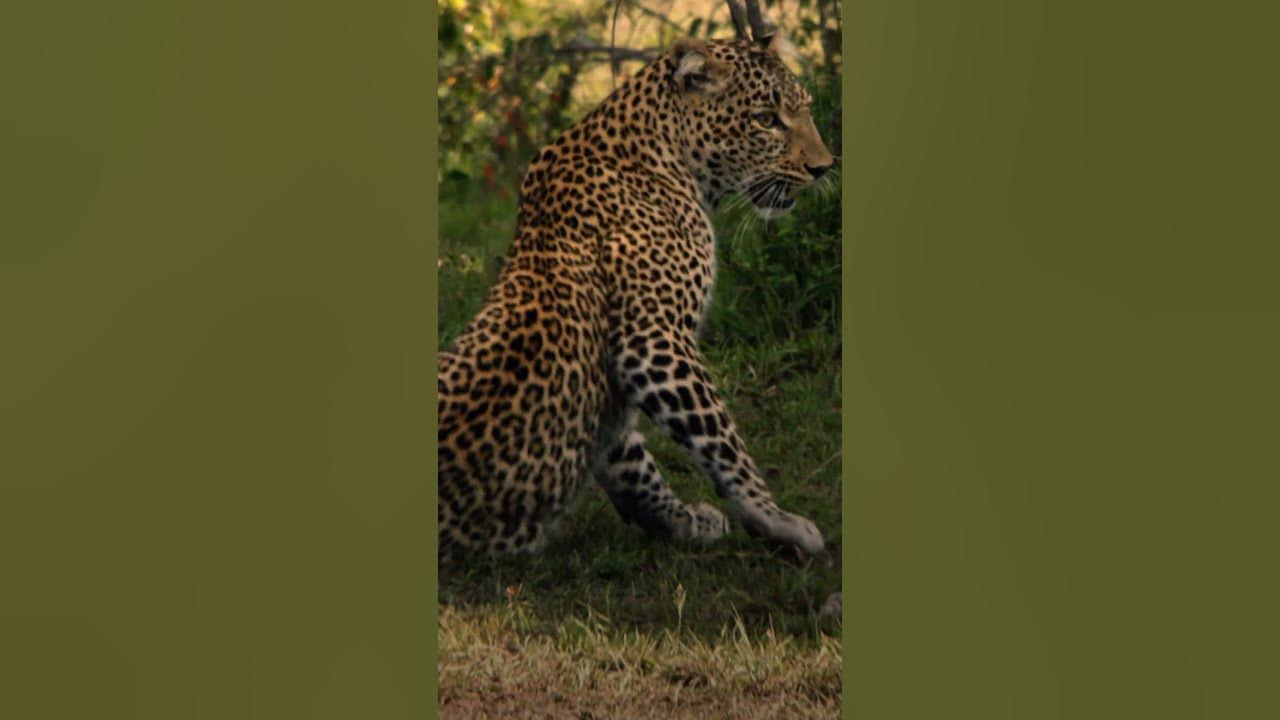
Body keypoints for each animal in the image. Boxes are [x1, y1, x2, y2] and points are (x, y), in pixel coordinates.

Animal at [438, 32, 836, 559]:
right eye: (766, 119)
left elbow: (630, 463)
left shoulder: (616, 384)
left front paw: (684, 520)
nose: (824, 168)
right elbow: (722, 439)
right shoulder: (651, 341)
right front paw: (775, 519)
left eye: (805, 109)